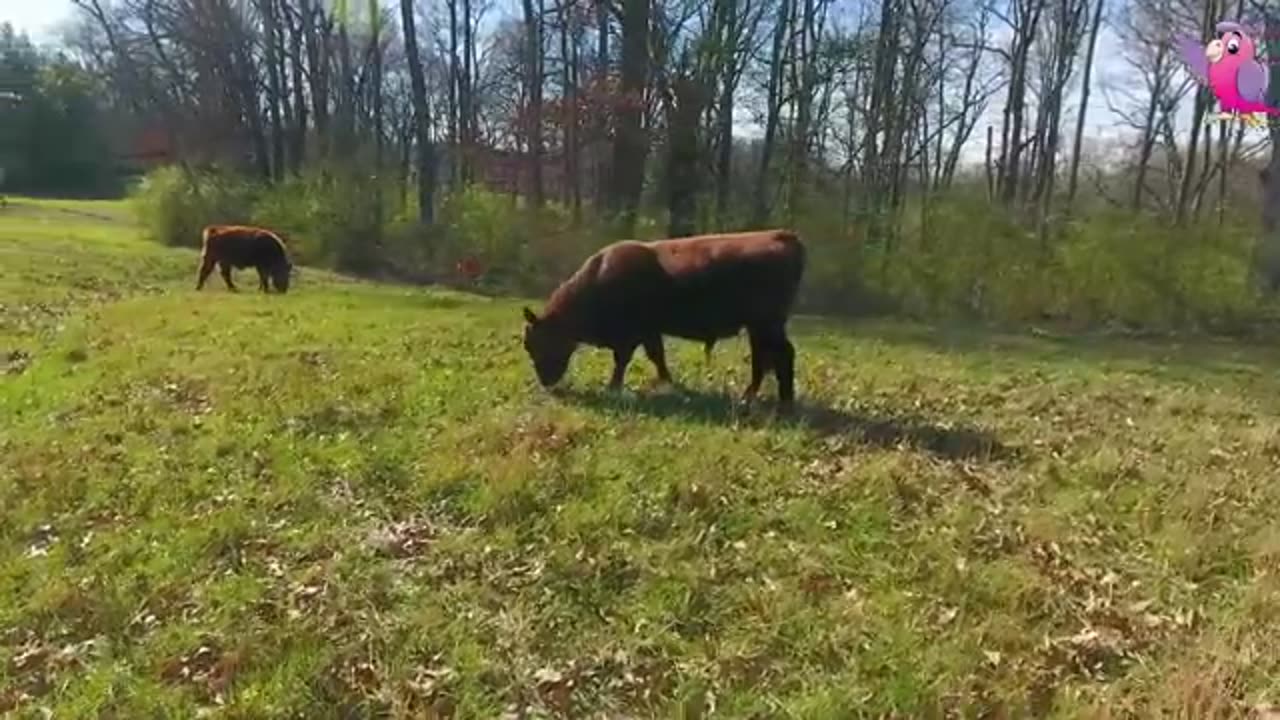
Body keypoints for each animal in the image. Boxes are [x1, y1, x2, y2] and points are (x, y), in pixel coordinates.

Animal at [517, 229, 798, 409]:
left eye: (536, 343)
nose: (545, 382)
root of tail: (782, 235)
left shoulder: (630, 335)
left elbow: (623, 360)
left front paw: (613, 387)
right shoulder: (649, 332)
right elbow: (657, 357)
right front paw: (669, 383)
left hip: (767, 325)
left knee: (781, 354)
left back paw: (779, 400)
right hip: (760, 327)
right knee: (765, 356)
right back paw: (755, 396)